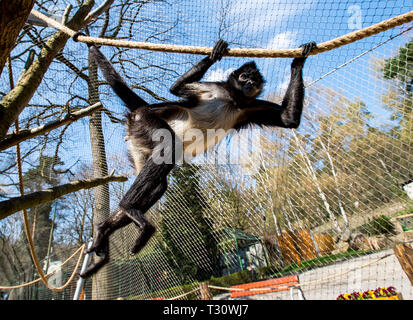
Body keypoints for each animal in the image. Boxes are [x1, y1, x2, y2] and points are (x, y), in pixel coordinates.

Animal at [79, 38, 314, 278]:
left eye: (254, 80)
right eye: (243, 77)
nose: (249, 83)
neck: (234, 99)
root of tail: (141, 110)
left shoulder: (250, 105)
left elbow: (288, 119)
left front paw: (299, 60)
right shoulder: (217, 88)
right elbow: (175, 88)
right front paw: (216, 52)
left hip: (139, 145)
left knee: (160, 184)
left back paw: (104, 230)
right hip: (145, 122)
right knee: (169, 147)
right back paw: (129, 208)